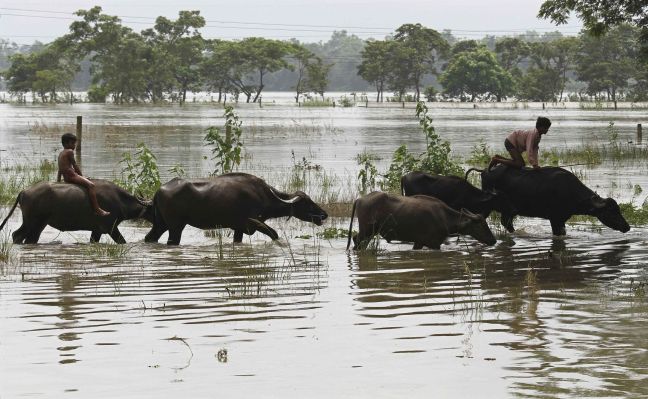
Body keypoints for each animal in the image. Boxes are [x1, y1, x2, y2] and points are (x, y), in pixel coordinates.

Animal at [0, 180, 154, 244]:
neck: (119, 200)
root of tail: (24, 191)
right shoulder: (111, 228)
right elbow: (122, 241)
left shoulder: (97, 230)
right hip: (35, 223)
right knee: (23, 237)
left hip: (31, 223)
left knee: (20, 236)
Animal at [147, 173, 330, 245]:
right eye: (307, 202)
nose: (324, 214)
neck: (264, 196)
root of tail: (159, 191)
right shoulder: (253, 223)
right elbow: (274, 234)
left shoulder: (239, 229)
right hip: (175, 227)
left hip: (161, 225)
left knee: (150, 238)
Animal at [346, 193, 494, 250]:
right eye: (481, 225)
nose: (493, 240)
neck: (444, 217)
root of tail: (360, 199)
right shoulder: (434, 244)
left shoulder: (418, 242)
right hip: (366, 230)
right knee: (356, 240)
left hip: (370, 233)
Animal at [474, 165, 632, 236]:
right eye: (611, 211)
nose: (627, 226)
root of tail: (485, 171)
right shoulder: (555, 219)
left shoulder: (561, 220)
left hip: (509, 210)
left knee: (506, 222)